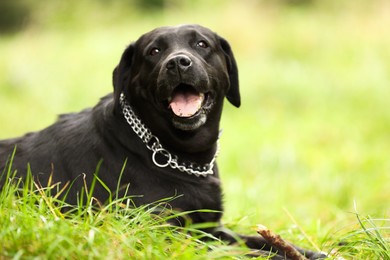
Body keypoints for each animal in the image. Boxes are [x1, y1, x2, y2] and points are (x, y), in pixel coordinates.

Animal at [0, 23, 326, 258]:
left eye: (201, 44)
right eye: (154, 51)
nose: (179, 63)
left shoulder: (211, 226)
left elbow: (261, 242)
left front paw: (311, 252)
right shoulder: (165, 233)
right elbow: (246, 253)